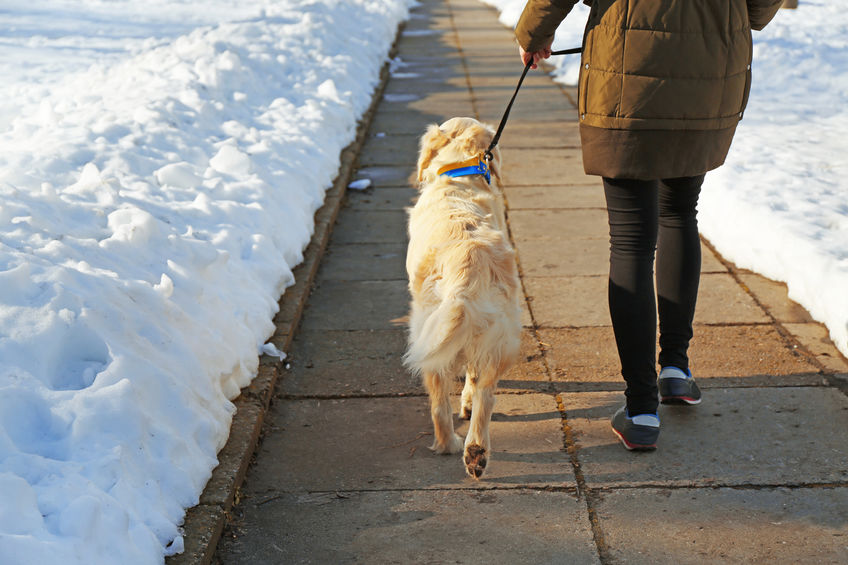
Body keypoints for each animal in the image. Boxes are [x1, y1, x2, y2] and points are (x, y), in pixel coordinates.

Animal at [406, 117, 524, 478]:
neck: (461, 177)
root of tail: (467, 266)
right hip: (499, 334)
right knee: (484, 394)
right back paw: (475, 452)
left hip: (424, 330)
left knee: (439, 400)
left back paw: (449, 445)